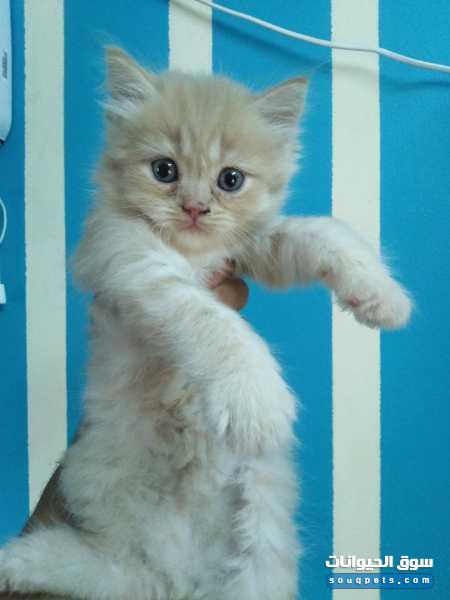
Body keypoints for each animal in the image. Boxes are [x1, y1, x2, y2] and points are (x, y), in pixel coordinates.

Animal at [0, 47, 412, 600]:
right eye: (164, 170)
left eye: (230, 179)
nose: (195, 208)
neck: (192, 254)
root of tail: (177, 576)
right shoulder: (131, 263)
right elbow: (210, 321)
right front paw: (257, 400)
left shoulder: (250, 247)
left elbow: (317, 233)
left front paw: (382, 295)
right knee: (89, 564)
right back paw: (15, 561)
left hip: (255, 552)